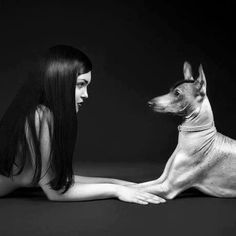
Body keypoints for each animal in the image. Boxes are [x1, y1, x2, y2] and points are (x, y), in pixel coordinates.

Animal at [136, 62, 236, 199]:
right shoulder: (161, 180)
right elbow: (132, 185)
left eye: (177, 93)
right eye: (170, 90)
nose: (149, 103)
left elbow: (129, 187)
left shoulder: (167, 187)